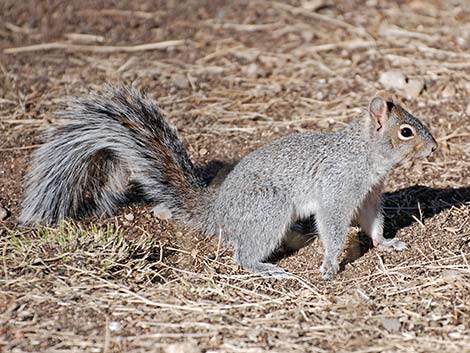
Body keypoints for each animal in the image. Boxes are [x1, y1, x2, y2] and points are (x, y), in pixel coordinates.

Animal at [18, 84, 436, 278]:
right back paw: (266, 267)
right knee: (243, 256)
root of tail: (218, 210)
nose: (434, 147)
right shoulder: (337, 190)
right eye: (406, 132)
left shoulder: (367, 195)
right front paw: (330, 265)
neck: (365, 155)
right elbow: (333, 227)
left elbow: (373, 222)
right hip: (269, 210)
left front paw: (386, 243)